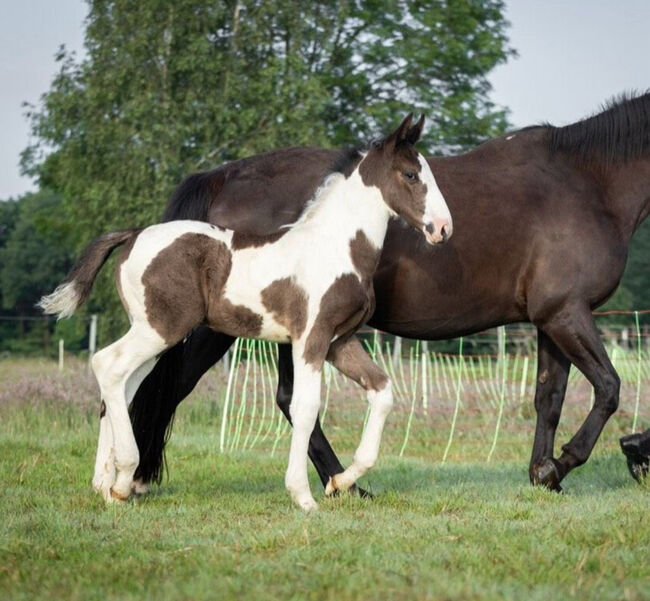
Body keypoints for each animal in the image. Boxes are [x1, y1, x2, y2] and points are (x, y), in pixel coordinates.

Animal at [40, 113, 450, 510]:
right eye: (410, 174)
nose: (443, 229)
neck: (334, 246)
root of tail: (133, 234)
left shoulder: (340, 342)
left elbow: (382, 391)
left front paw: (341, 482)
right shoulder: (311, 338)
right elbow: (305, 407)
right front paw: (303, 496)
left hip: (152, 335)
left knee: (124, 386)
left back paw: (107, 485)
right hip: (160, 329)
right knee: (107, 365)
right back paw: (123, 476)